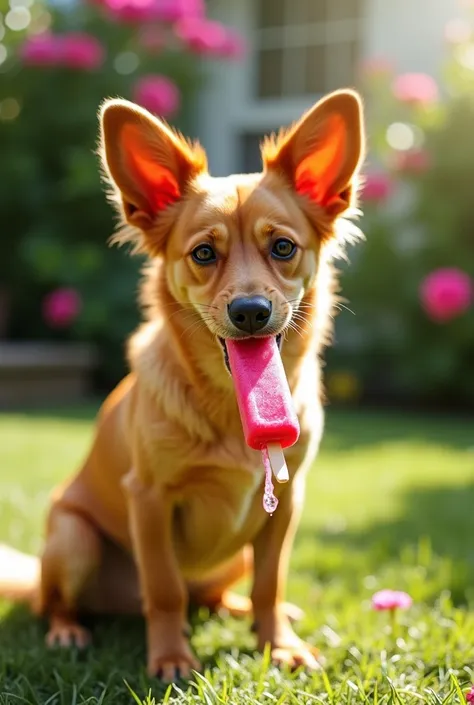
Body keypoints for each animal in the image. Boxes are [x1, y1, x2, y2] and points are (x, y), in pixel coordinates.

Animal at [0, 85, 362, 680]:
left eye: (283, 248)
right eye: (203, 253)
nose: (250, 311)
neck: (230, 404)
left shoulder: (286, 504)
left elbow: (270, 582)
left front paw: (279, 644)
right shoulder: (149, 499)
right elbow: (165, 589)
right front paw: (171, 657)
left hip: (234, 555)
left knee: (216, 596)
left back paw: (241, 609)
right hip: (74, 541)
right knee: (56, 602)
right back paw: (69, 631)